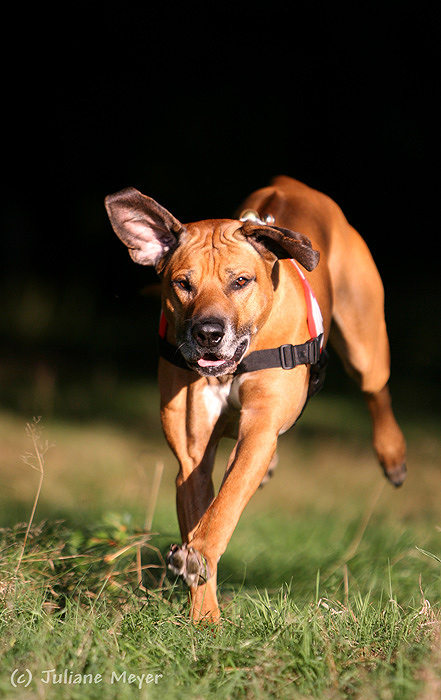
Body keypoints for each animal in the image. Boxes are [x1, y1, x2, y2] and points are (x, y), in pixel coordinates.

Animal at [104, 176, 406, 624]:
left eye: (241, 281)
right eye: (183, 283)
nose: (208, 333)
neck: (232, 367)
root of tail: (292, 184)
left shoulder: (260, 427)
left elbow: (225, 506)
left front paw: (196, 558)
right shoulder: (193, 457)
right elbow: (204, 506)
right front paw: (205, 618)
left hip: (365, 340)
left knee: (375, 388)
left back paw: (392, 454)